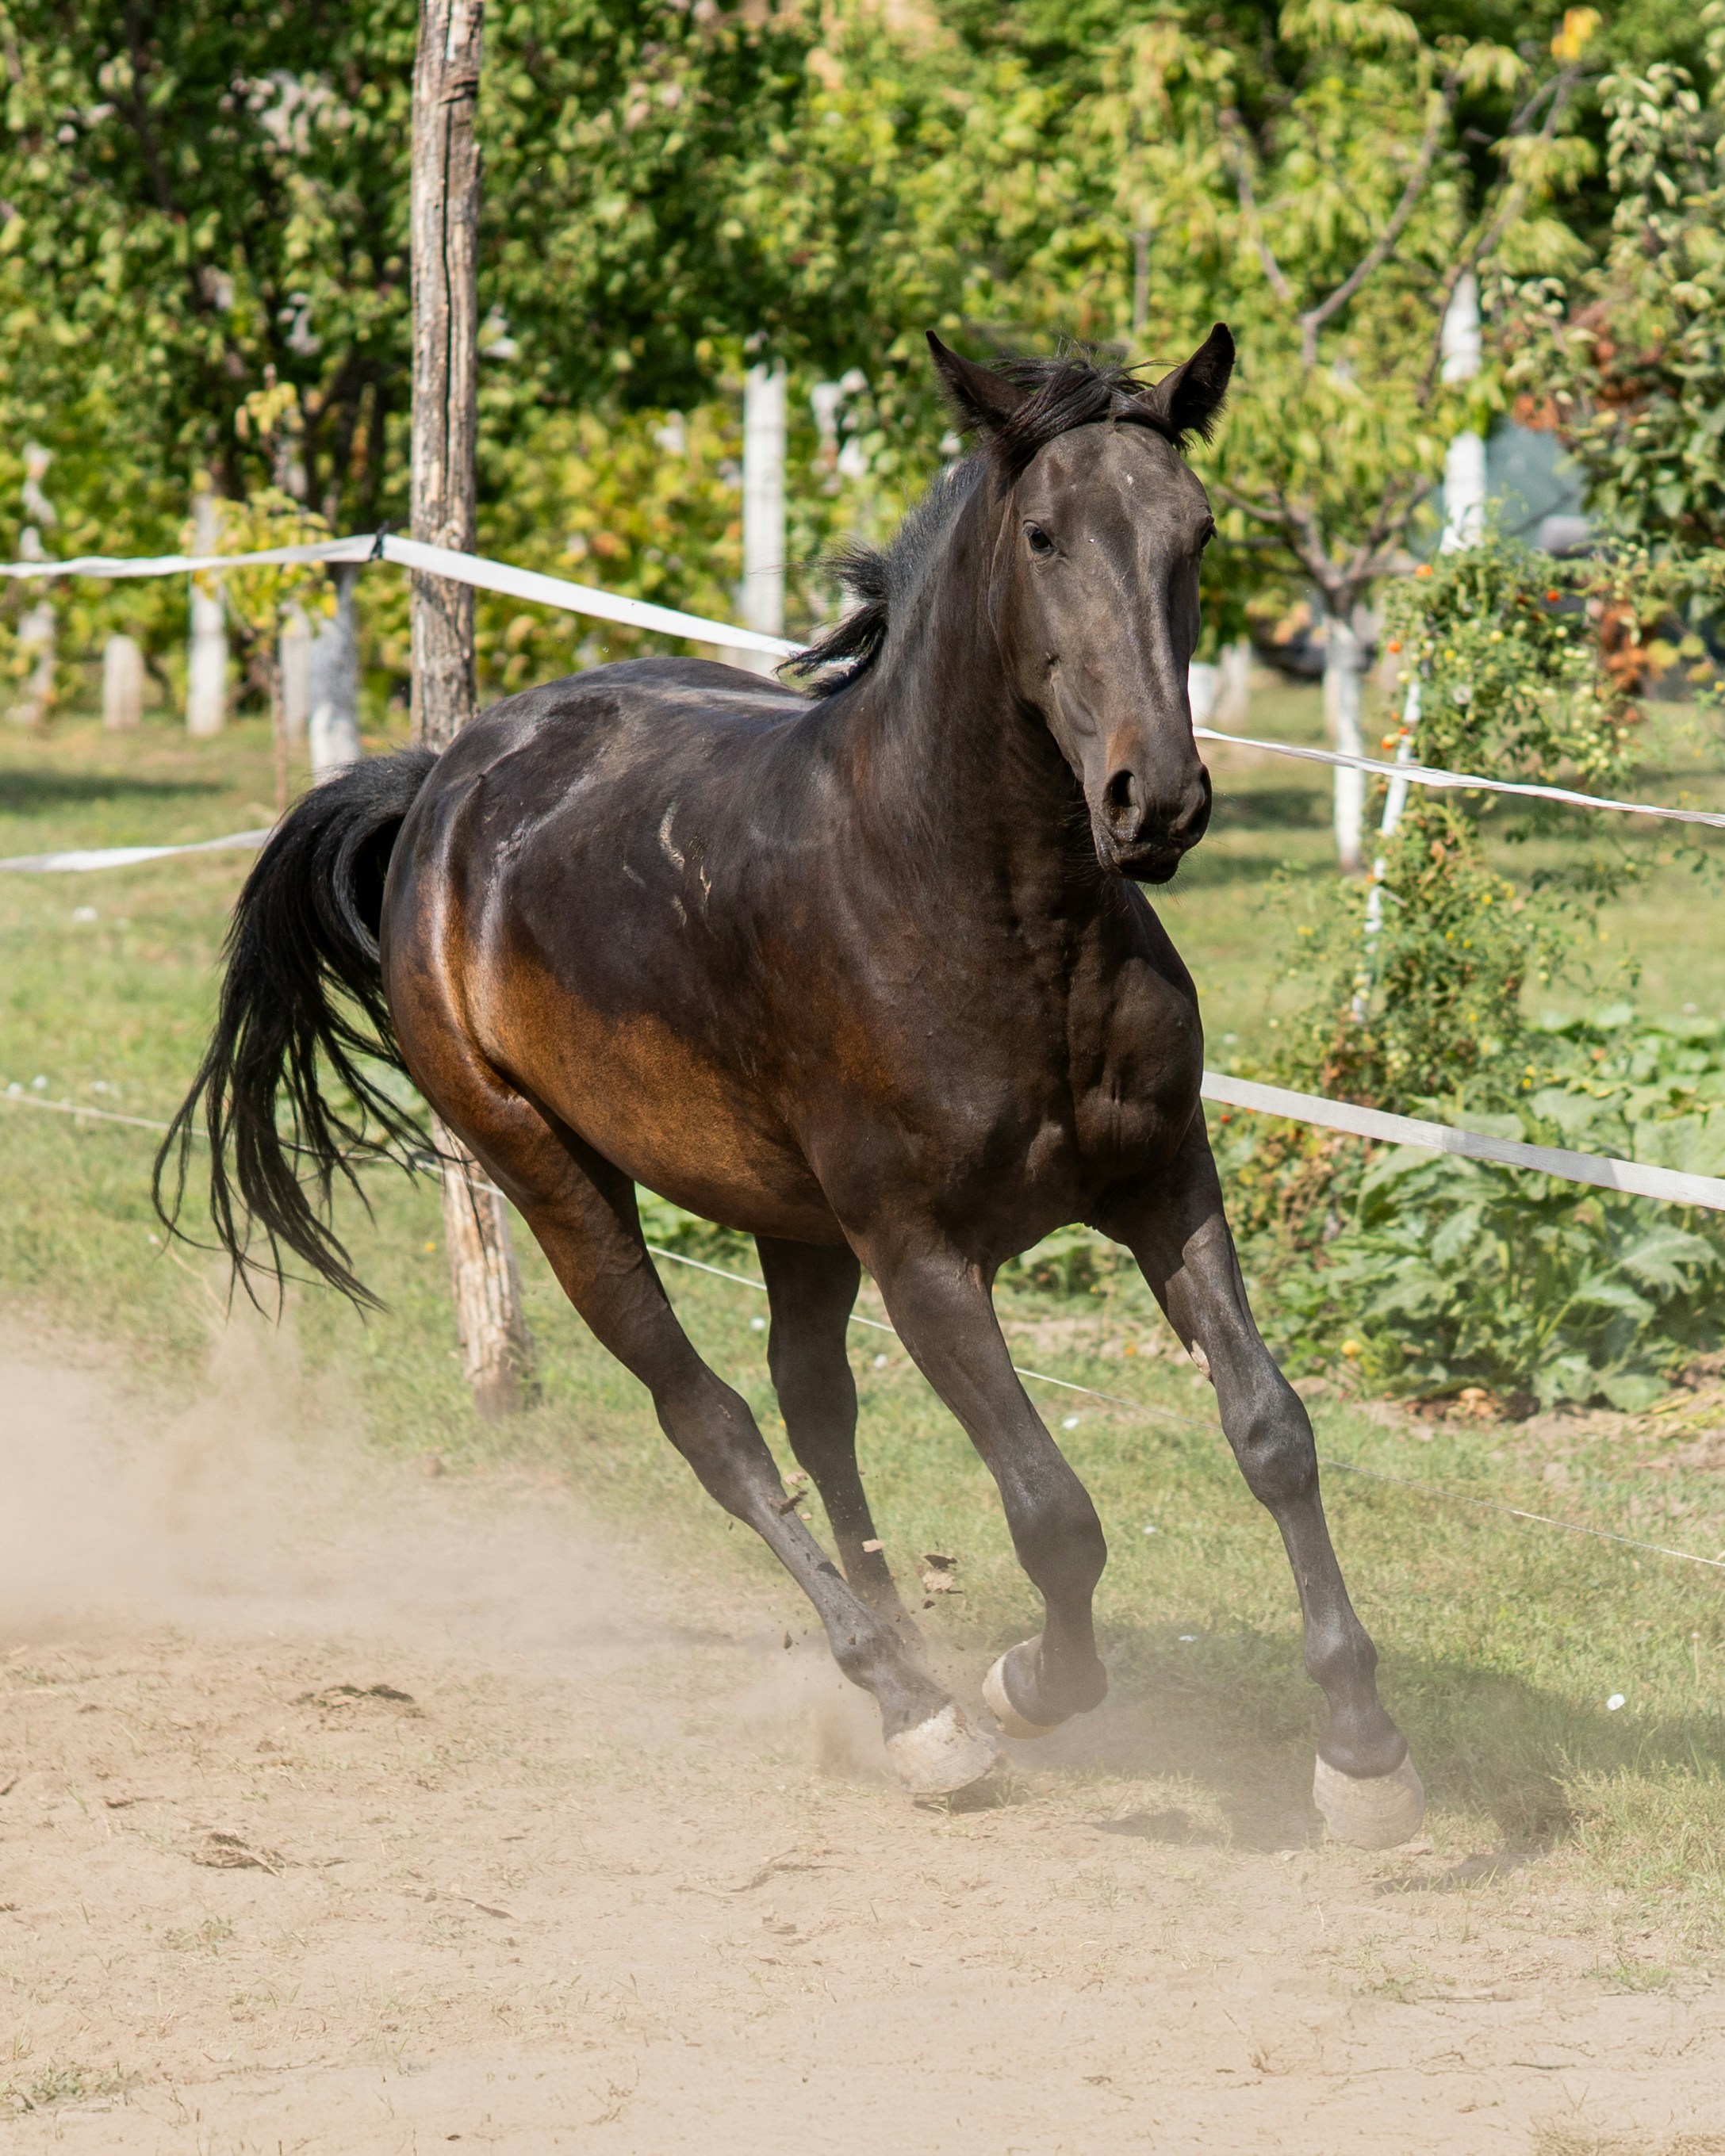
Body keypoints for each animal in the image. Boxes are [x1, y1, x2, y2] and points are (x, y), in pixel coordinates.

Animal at [157, 328, 1423, 1847]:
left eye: (1199, 531)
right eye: (1044, 534)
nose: (1153, 800)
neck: (987, 908)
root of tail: (444, 784)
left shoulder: (1166, 1184)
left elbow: (1271, 1429)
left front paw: (1360, 1750)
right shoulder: (923, 1253)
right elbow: (1052, 1509)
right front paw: (1023, 1686)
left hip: (791, 1219)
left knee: (813, 1401)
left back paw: (905, 1664)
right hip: (552, 1175)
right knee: (716, 1422)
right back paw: (915, 1704)